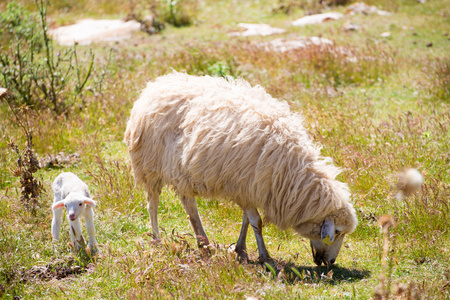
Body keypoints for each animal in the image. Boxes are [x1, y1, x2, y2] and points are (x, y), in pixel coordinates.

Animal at [124, 72, 358, 268]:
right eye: (337, 232)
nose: (330, 263)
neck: (293, 174)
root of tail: (155, 86)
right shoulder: (247, 184)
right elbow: (257, 222)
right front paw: (265, 257)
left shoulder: (249, 186)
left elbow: (247, 220)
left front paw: (241, 249)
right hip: (150, 165)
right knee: (153, 205)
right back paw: (157, 240)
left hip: (181, 171)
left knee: (189, 206)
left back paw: (204, 243)